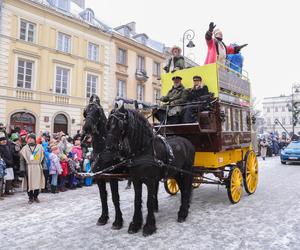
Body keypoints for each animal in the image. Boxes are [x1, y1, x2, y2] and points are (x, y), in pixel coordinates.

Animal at [82, 94, 123, 229]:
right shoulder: (100, 176)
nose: (87, 127)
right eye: (86, 111)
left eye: (97, 111)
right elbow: (103, 197)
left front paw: (118, 221)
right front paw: (103, 217)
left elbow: (115, 197)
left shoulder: (112, 176)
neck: (102, 149)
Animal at [106, 105, 196, 236]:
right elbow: (137, 201)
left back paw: (182, 214)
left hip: (185, 172)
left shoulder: (151, 181)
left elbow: (149, 201)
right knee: (184, 189)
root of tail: (188, 142)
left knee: (185, 190)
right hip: (177, 173)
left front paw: (149, 226)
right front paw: (135, 224)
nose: (109, 147)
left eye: (118, 124)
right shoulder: (136, 180)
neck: (143, 151)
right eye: (108, 124)